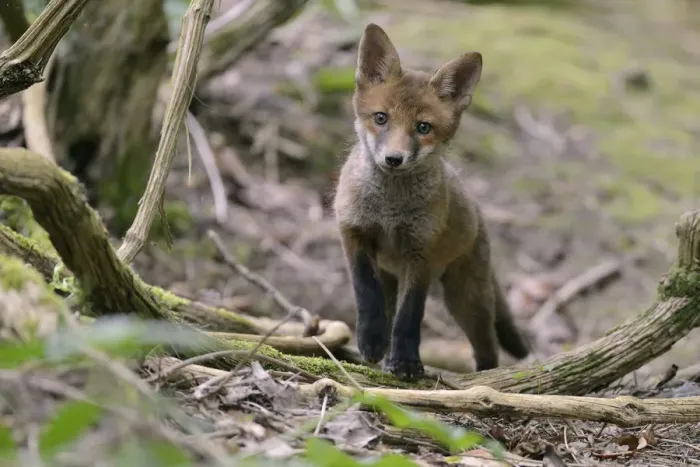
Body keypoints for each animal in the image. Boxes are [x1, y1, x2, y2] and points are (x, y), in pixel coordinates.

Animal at [332, 23, 531, 381]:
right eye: (381, 118)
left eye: (423, 127)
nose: (393, 159)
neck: (390, 211)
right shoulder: (353, 233)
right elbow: (366, 293)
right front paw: (371, 340)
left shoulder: (421, 252)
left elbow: (410, 316)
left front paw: (407, 363)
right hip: (396, 279)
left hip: (466, 298)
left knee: (488, 347)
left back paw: (483, 378)